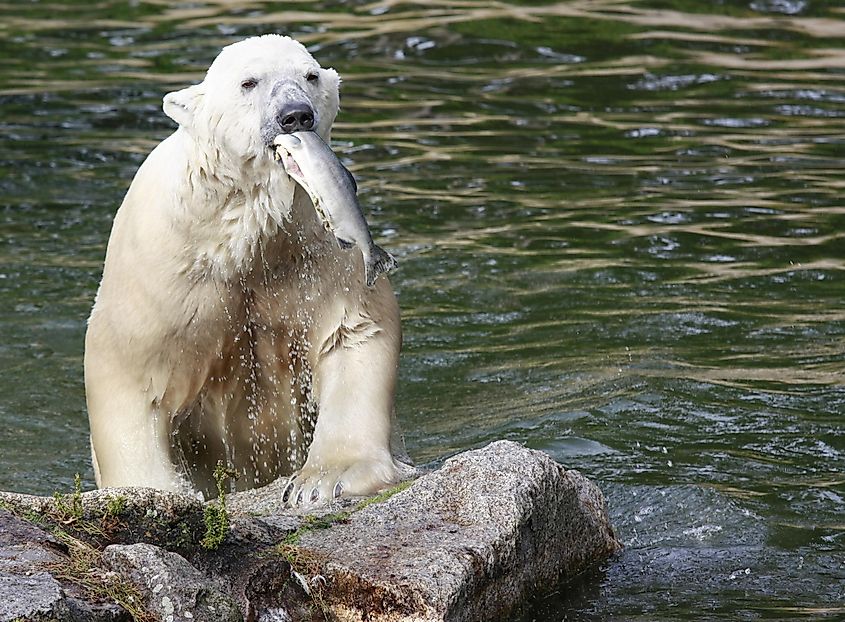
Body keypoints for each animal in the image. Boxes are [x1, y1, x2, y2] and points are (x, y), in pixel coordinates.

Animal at [84, 34, 412, 504]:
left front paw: (325, 480)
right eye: (248, 82)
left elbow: (352, 331)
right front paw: (155, 492)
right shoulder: (164, 259)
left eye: (311, 76)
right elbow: (130, 370)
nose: (296, 114)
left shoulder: (319, 246)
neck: (246, 229)